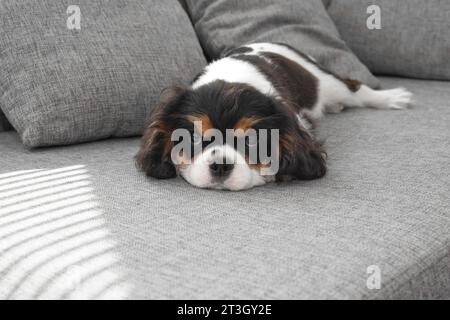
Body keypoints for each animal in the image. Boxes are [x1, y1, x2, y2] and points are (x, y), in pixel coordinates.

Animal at [135, 43, 414, 191]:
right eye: (191, 138)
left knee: (356, 89)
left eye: (252, 141)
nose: (220, 165)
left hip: (324, 81)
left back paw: (391, 98)